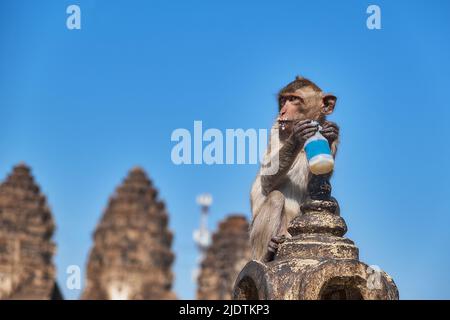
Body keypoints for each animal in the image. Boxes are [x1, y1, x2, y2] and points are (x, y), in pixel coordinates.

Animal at [248, 76, 340, 262]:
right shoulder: (276, 129)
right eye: (283, 100)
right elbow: (266, 180)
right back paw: (268, 253)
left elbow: (319, 184)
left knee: (334, 201)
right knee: (275, 197)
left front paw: (330, 134)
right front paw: (297, 136)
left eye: (294, 99)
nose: (283, 112)